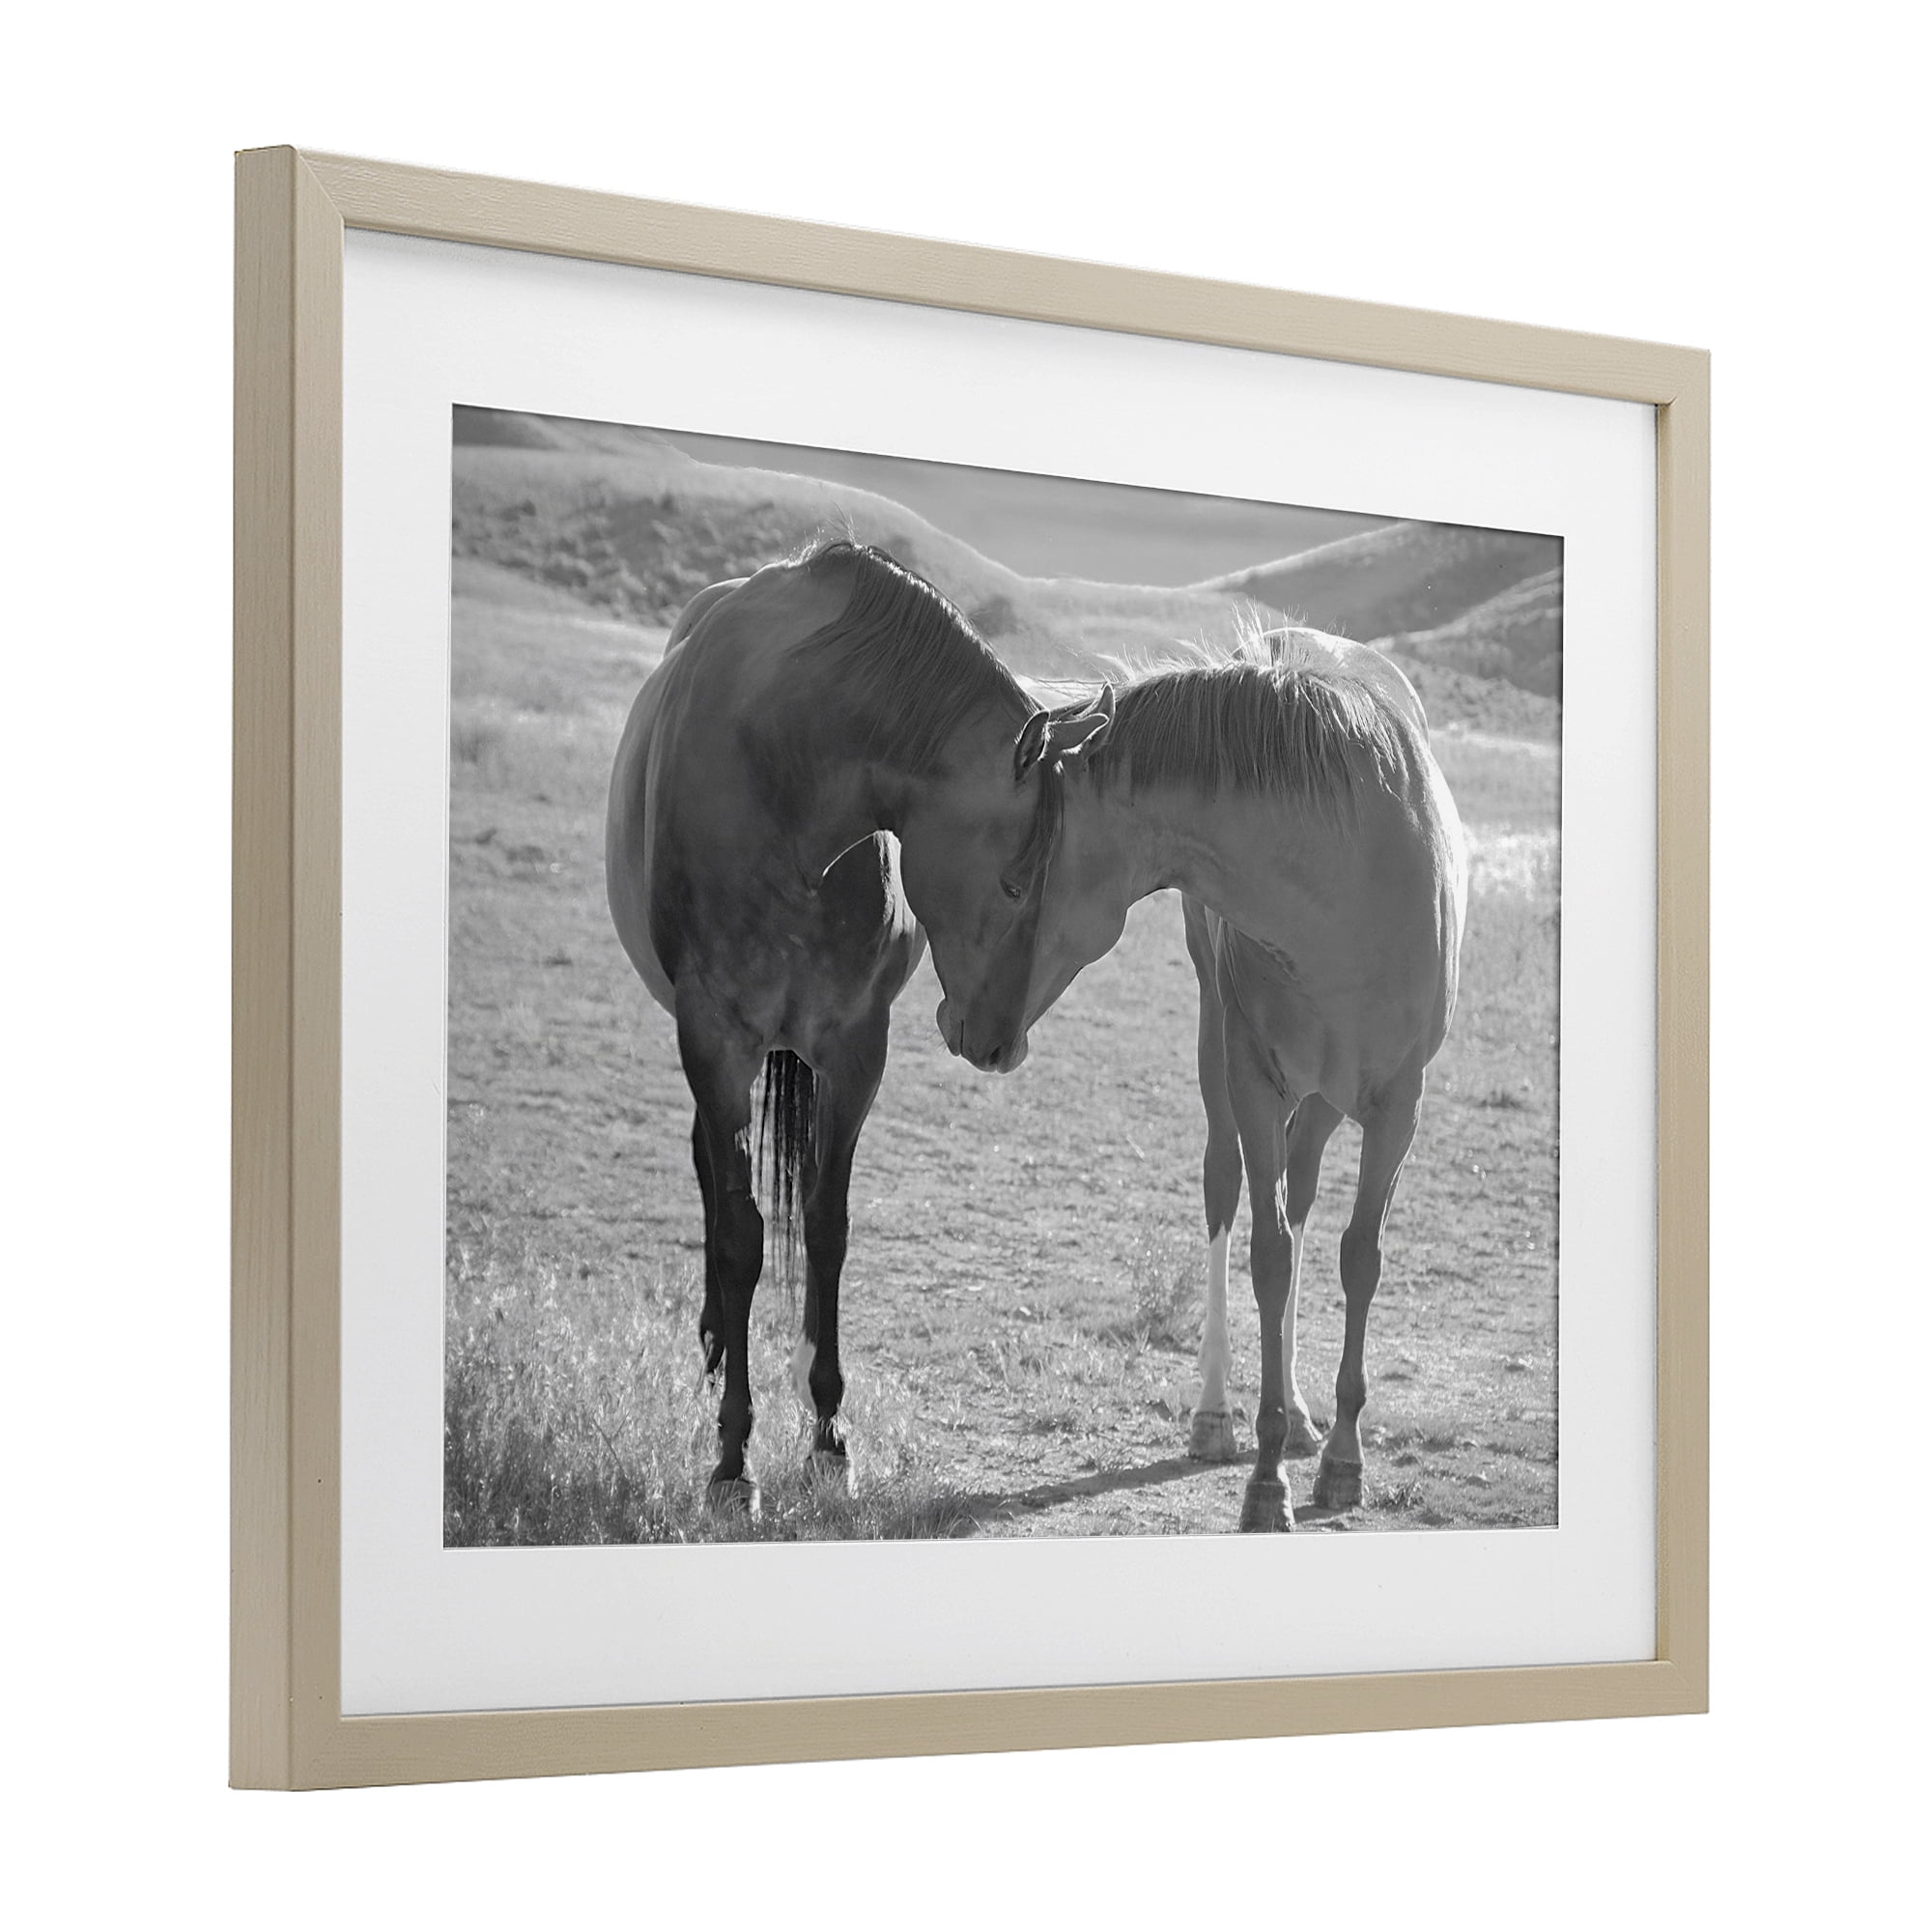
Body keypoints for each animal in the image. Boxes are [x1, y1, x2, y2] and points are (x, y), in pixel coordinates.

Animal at [606, 540, 1108, 1517]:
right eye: (1015, 883)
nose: (1001, 1044)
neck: (784, 777)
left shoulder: (853, 1047)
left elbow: (827, 1227)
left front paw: (829, 1435)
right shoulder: (712, 1037)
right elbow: (741, 1235)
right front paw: (734, 1457)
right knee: (711, 1178)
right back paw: (715, 1343)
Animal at [976, 622, 1467, 1531]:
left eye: (1014, 881)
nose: (969, 1030)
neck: (1343, 878)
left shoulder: (1398, 1107)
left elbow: (1358, 1257)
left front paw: (1341, 1458)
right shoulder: (1253, 1081)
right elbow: (1267, 1257)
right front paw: (1265, 1478)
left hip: (1325, 1098)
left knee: (1302, 1198)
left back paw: (1306, 1416)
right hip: (1224, 1053)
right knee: (1225, 1189)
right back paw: (1214, 1415)